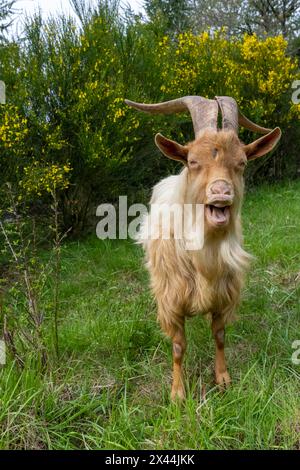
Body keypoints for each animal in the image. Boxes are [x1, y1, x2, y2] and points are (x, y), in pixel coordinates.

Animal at [124, 96, 282, 400]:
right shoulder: (171, 300)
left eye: (242, 162)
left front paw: (223, 378)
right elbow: (177, 347)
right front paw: (177, 393)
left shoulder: (224, 295)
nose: (221, 192)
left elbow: (219, 336)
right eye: (193, 161)